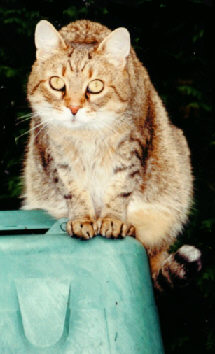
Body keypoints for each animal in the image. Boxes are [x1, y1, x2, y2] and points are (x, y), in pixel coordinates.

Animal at [21, 20, 202, 290]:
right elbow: (73, 190)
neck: (86, 137)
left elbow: (119, 188)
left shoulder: (132, 147)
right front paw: (83, 219)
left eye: (95, 86)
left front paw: (112, 220)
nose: (73, 108)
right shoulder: (55, 154)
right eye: (56, 83)